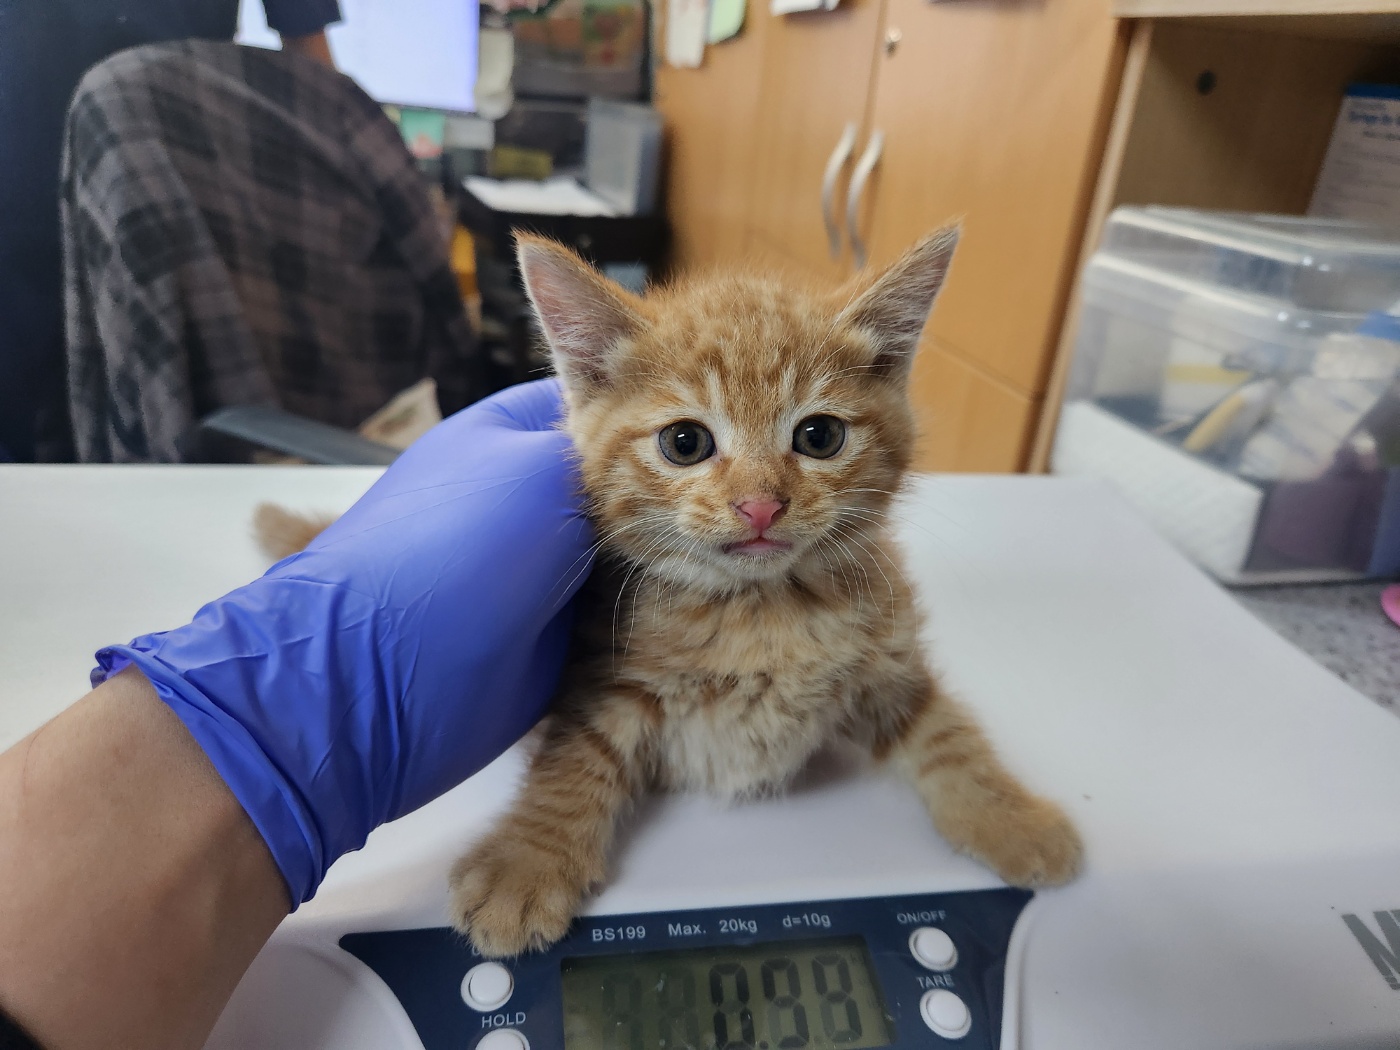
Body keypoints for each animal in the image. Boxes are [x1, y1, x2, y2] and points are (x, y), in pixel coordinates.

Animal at [448, 229, 1080, 963]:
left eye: (820, 436)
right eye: (684, 442)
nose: (759, 506)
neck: (761, 611)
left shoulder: (889, 667)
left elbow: (948, 735)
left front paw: (1015, 819)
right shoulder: (601, 669)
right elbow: (573, 758)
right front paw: (526, 860)